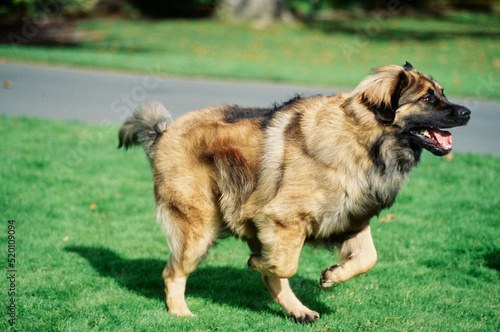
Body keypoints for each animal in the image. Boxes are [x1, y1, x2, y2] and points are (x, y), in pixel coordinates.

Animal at [119, 62, 470, 322]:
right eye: (427, 99)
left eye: (442, 93)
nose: (466, 112)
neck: (362, 140)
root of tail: (164, 133)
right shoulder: (282, 220)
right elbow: (284, 266)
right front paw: (256, 262)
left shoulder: (351, 218)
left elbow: (369, 257)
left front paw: (333, 275)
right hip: (199, 227)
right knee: (172, 273)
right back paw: (181, 312)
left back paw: (299, 311)